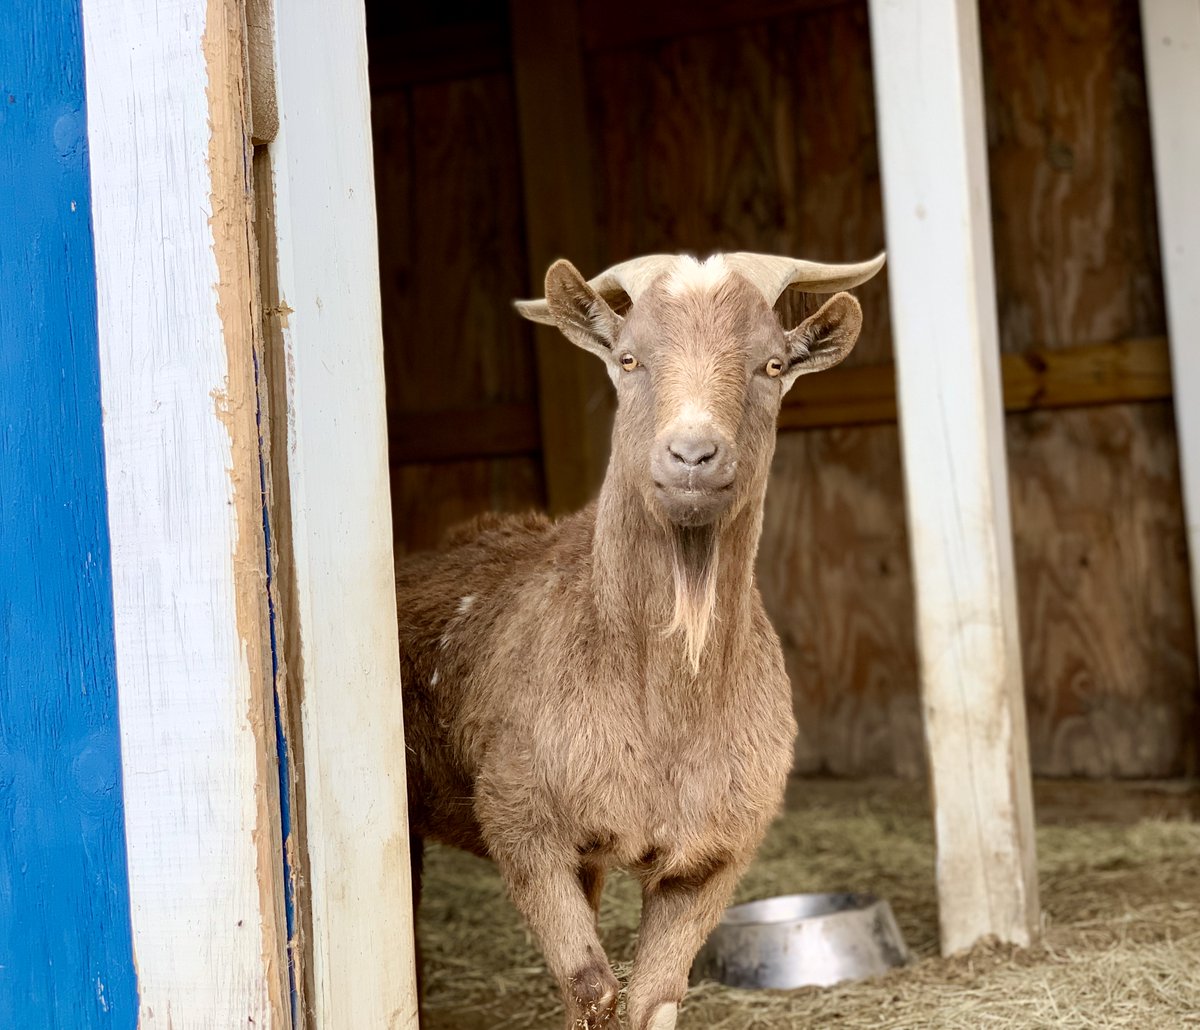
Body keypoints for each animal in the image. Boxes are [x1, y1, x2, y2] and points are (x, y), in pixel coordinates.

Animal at [395, 250, 885, 1030]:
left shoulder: (714, 854)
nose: (692, 455)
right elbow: (594, 987)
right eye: (629, 358)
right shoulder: (520, 816)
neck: (661, 719)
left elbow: (653, 998)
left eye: (773, 364)